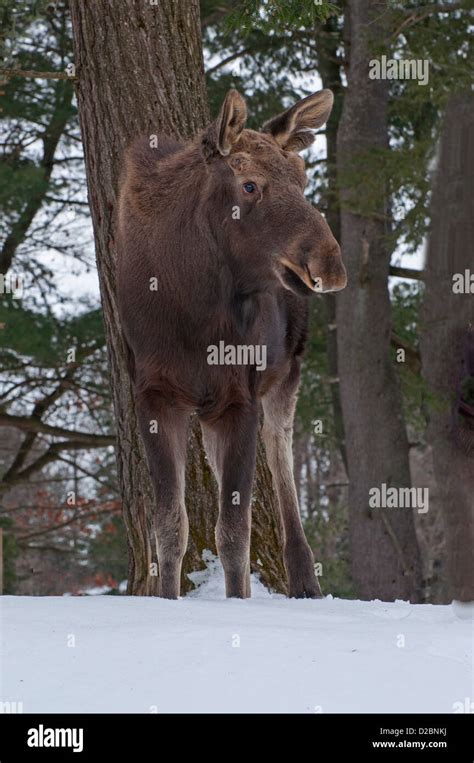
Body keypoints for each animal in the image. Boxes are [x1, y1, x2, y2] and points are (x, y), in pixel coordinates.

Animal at [116, 88, 346, 604]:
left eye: (303, 178)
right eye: (250, 185)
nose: (330, 263)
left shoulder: (241, 395)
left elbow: (234, 531)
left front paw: (237, 603)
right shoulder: (155, 394)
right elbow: (171, 525)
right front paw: (167, 598)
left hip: (286, 373)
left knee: (281, 451)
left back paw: (305, 580)